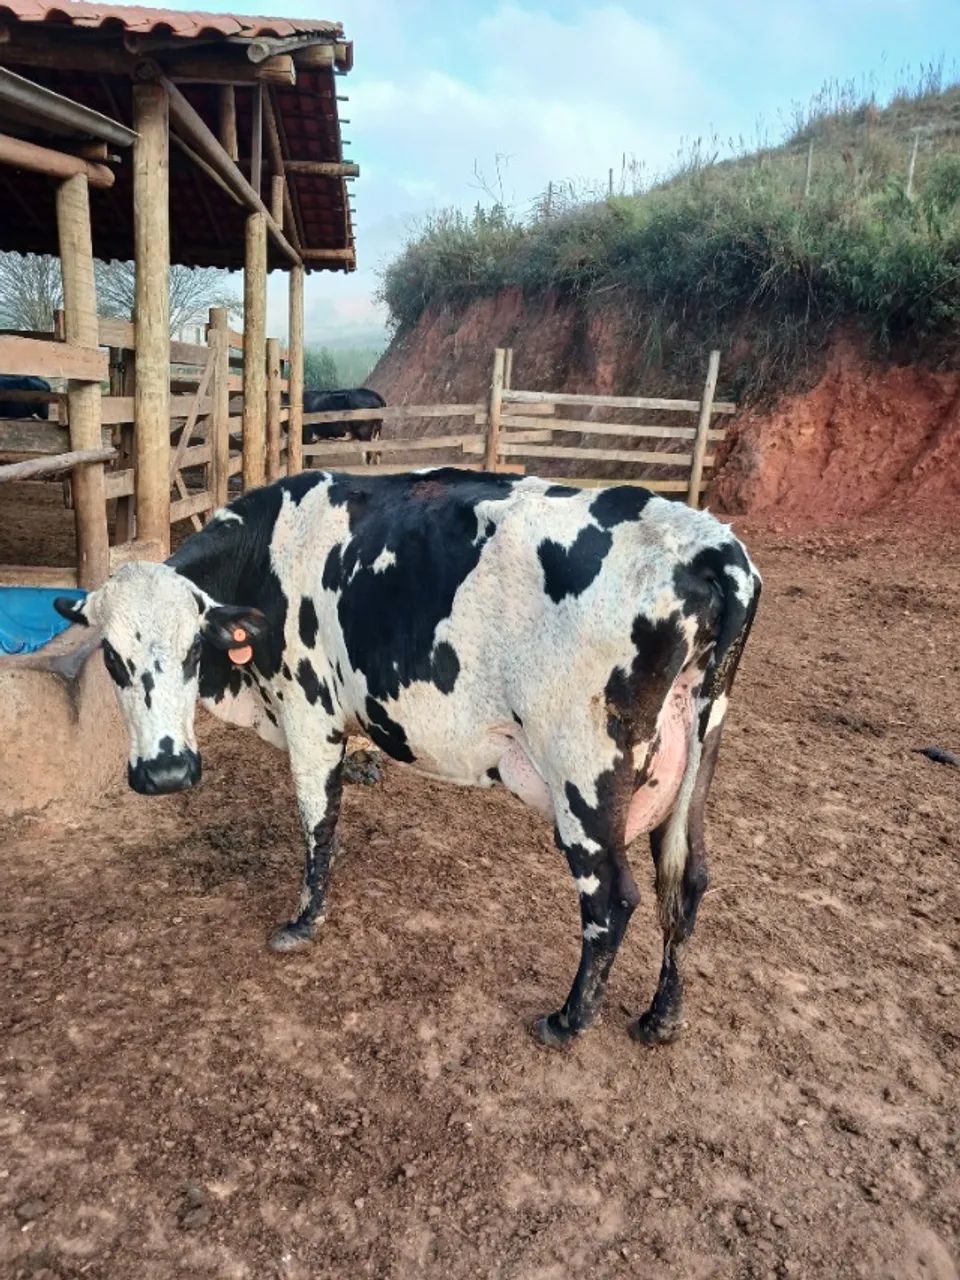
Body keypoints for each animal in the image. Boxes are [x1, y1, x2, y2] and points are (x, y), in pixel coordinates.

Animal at [54, 468, 760, 1049]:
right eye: (112, 657)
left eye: (194, 649)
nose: (165, 771)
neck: (267, 553)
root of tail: (710, 545)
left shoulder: (308, 710)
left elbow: (317, 819)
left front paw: (304, 920)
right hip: (697, 755)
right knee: (686, 881)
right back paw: (661, 1017)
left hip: (585, 777)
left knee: (612, 899)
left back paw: (568, 1020)